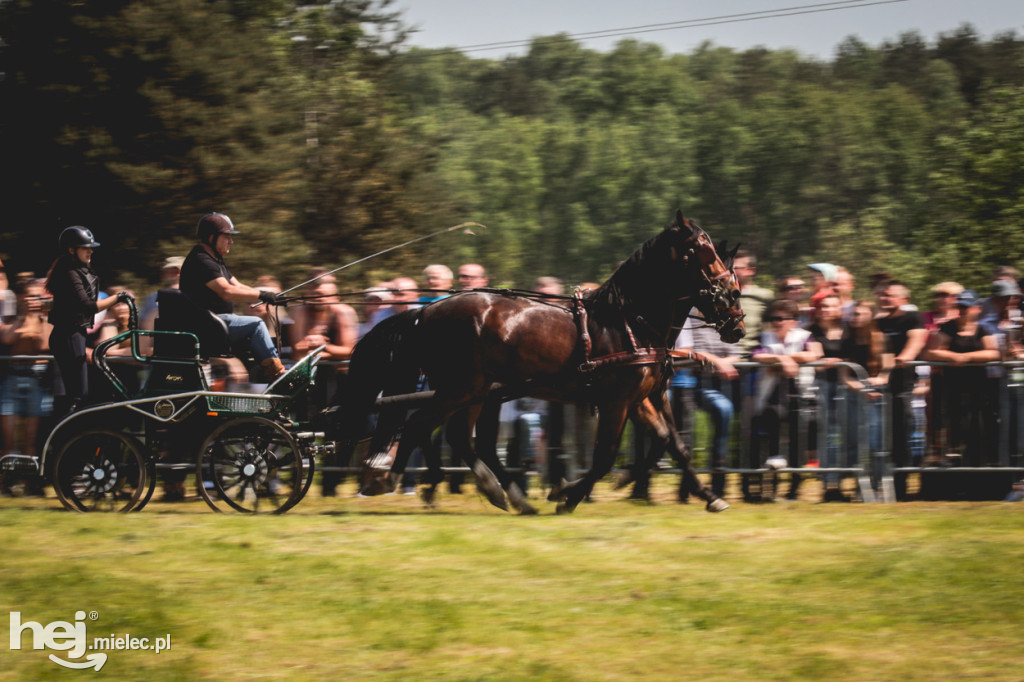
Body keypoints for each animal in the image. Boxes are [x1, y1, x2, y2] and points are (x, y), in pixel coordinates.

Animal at [335, 209, 745, 512]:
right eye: (705, 251)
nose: (737, 316)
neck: (630, 321)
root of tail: (425, 312)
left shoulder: (644, 397)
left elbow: (673, 444)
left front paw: (709, 496)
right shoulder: (618, 401)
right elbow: (605, 456)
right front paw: (567, 496)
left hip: (476, 390)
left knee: (458, 437)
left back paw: (504, 495)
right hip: (460, 387)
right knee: (423, 425)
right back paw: (394, 480)